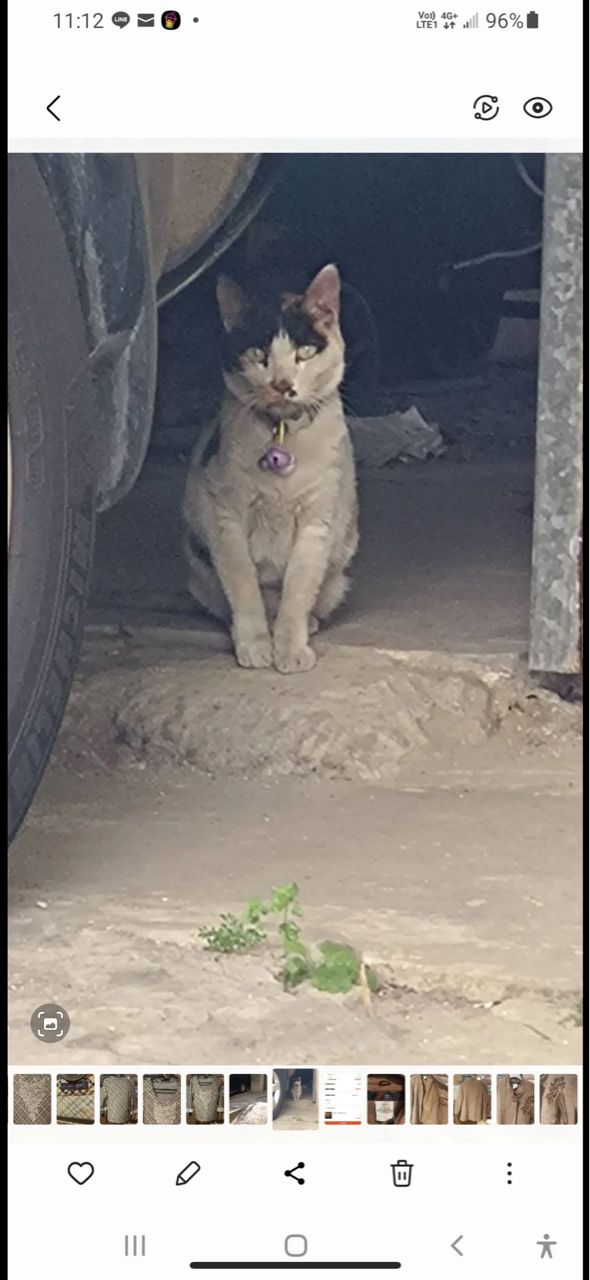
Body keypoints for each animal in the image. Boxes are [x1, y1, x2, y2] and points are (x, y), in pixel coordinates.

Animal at [182, 263, 358, 674]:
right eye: (258, 353)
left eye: (305, 351)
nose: (282, 384)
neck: (283, 433)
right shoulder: (226, 518)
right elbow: (244, 587)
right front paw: (256, 645)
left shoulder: (317, 521)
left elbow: (298, 591)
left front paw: (290, 648)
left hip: (339, 570)